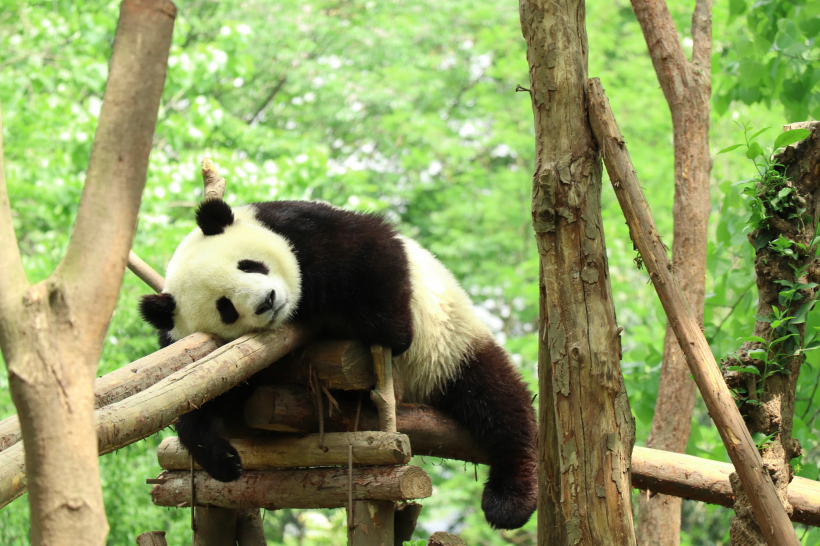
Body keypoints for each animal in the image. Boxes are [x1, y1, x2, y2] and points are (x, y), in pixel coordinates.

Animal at [141, 199, 540, 528]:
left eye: (249, 265)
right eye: (225, 307)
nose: (267, 301)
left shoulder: (300, 228)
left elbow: (371, 249)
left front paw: (393, 331)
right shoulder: (190, 346)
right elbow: (198, 395)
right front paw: (223, 459)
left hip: (450, 345)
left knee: (500, 406)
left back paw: (509, 501)